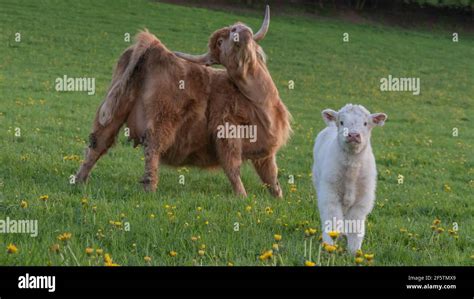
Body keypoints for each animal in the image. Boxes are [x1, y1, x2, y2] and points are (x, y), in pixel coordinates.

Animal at [76, 5, 290, 198]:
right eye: (221, 41)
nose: (238, 30)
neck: (260, 102)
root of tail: (155, 47)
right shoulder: (227, 133)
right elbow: (233, 167)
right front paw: (242, 197)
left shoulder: (265, 152)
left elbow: (271, 176)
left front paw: (278, 198)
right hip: (163, 117)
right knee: (152, 147)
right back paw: (149, 189)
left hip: (115, 110)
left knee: (98, 143)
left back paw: (78, 181)